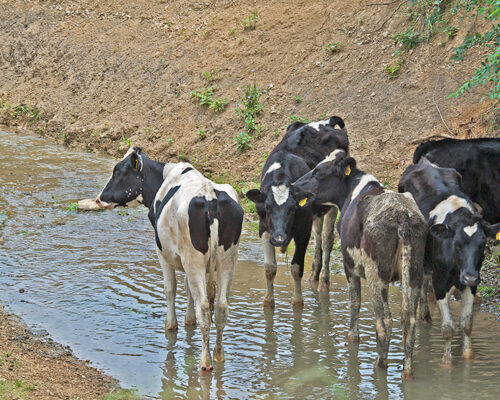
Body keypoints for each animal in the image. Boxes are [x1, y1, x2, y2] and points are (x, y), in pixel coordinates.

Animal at [96, 148, 244, 376]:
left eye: (118, 172)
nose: (99, 198)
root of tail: (209, 195)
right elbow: (189, 289)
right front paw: (188, 320)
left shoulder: (162, 253)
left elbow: (170, 289)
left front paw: (171, 324)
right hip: (228, 260)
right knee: (220, 307)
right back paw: (218, 356)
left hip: (194, 260)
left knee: (204, 307)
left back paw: (205, 361)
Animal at [246, 115, 348, 306]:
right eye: (268, 208)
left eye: (293, 208)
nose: (279, 239)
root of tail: (327, 121)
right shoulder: (264, 228)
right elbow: (270, 268)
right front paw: (268, 302)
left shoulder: (303, 230)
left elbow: (296, 267)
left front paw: (298, 302)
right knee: (319, 236)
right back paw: (314, 275)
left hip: (332, 205)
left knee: (327, 241)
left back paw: (323, 282)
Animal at [292, 149, 426, 378]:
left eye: (318, 171)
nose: (293, 186)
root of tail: (403, 217)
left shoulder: (350, 266)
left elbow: (354, 302)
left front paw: (352, 337)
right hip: (414, 273)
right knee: (409, 320)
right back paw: (406, 372)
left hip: (376, 274)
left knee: (384, 322)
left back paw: (379, 366)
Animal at [398, 159, 500, 366]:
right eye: (457, 244)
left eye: (482, 245)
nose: (469, 276)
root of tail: (425, 163)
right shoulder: (440, 283)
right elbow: (447, 327)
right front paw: (447, 363)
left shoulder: (472, 285)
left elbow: (467, 324)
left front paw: (468, 357)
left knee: (424, 282)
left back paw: (426, 316)